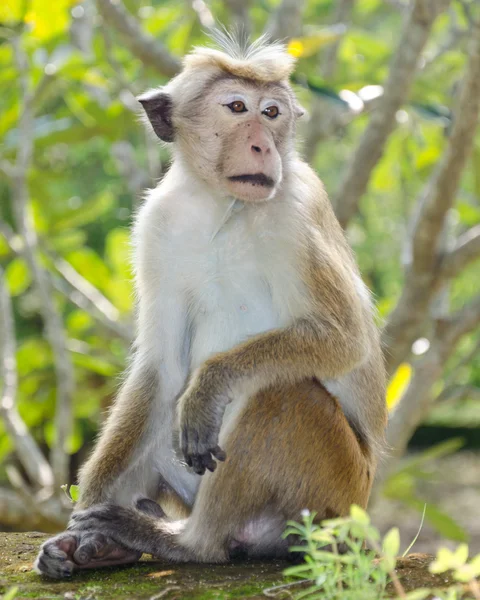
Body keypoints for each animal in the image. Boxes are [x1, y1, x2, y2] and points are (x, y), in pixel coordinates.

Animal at [34, 30, 386, 580]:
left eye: (271, 113)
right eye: (237, 107)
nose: (263, 144)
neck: (225, 206)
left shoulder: (295, 213)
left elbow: (345, 339)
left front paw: (209, 387)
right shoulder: (155, 225)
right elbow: (162, 365)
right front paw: (74, 532)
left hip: (338, 492)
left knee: (282, 393)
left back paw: (185, 541)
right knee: (164, 407)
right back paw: (113, 545)